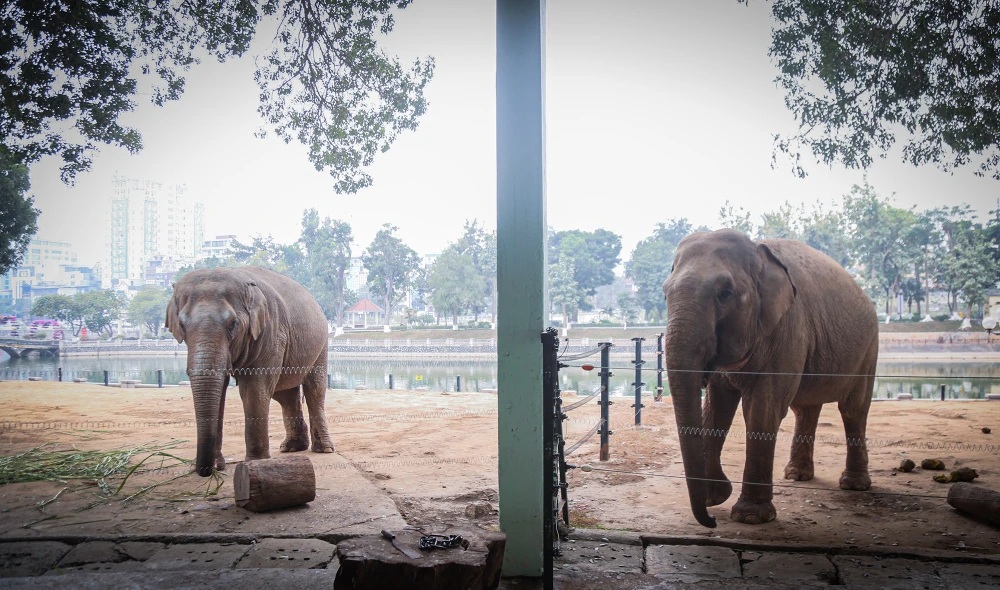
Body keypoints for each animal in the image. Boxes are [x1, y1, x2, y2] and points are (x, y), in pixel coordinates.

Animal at [164, 268, 334, 476]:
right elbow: (220, 391)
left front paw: (256, 464)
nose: (205, 470)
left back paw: (324, 449)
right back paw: (292, 447)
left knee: (314, 390)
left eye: (232, 324)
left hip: (321, 343)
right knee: (285, 394)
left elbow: (254, 388)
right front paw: (218, 465)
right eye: (182, 325)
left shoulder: (272, 331)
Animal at [664, 229, 876, 528]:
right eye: (665, 294)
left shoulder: (788, 328)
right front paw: (714, 497)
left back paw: (854, 485)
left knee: (853, 409)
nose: (712, 521)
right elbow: (715, 410)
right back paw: (797, 476)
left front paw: (750, 516)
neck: (757, 252)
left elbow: (762, 409)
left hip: (869, 348)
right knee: (806, 409)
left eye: (725, 294)